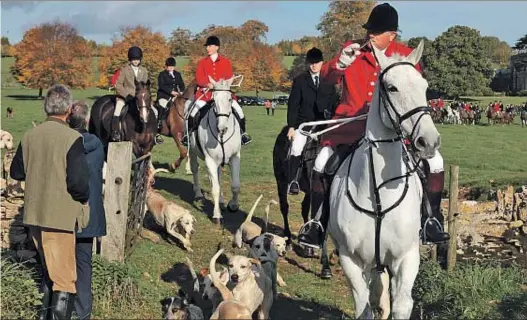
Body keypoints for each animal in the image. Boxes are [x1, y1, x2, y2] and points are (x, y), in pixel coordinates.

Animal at [190, 76, 243, 224]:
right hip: (192, 152)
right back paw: (198, 194)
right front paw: (217, 215)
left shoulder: (235, 157)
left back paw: (222, 202)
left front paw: (233, 205)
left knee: (218, 177)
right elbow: (215, 189)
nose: (222, 128)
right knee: (195, 169)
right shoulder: (210, 160)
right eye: (214, 100)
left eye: (230, 99)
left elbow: (235, 185)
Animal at [330, 41, 442, 318]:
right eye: (392, 87)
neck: (380, 194)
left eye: (424, 86)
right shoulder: (350, 260)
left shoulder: (407, 257)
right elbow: (363, 307)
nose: (429, 142)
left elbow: (401, 304)